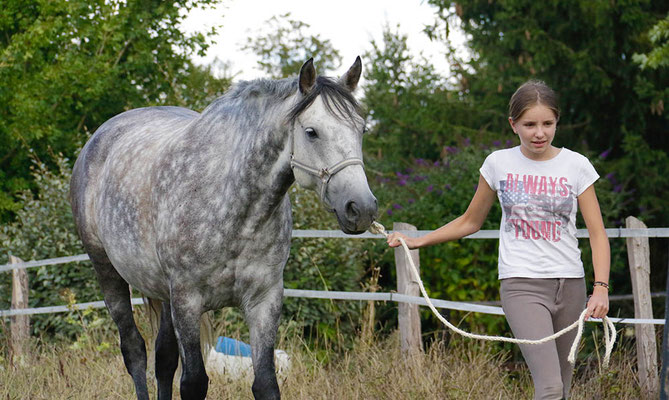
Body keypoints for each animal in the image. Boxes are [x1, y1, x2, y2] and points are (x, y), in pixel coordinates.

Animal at [72, 57, 380, 400]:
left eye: (361, 129)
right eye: (312, 132)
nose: (361, 208)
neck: (234, 207)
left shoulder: (264, 300)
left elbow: (265, 383)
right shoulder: (187, 301)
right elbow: (193, 382)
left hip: (161, 292)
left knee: (163, 358)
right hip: (108, 273)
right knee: (134, 351)